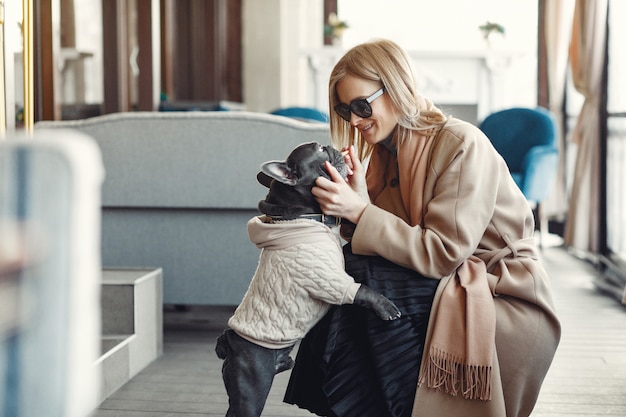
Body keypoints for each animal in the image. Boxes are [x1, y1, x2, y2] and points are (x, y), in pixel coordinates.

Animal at [214, 141, 400, 414]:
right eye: (321, 150)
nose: (333, 146)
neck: (303, 218)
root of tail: (229, 343)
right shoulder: (330, 279)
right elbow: (363, 290)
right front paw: (387, 308)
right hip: (251, 389)